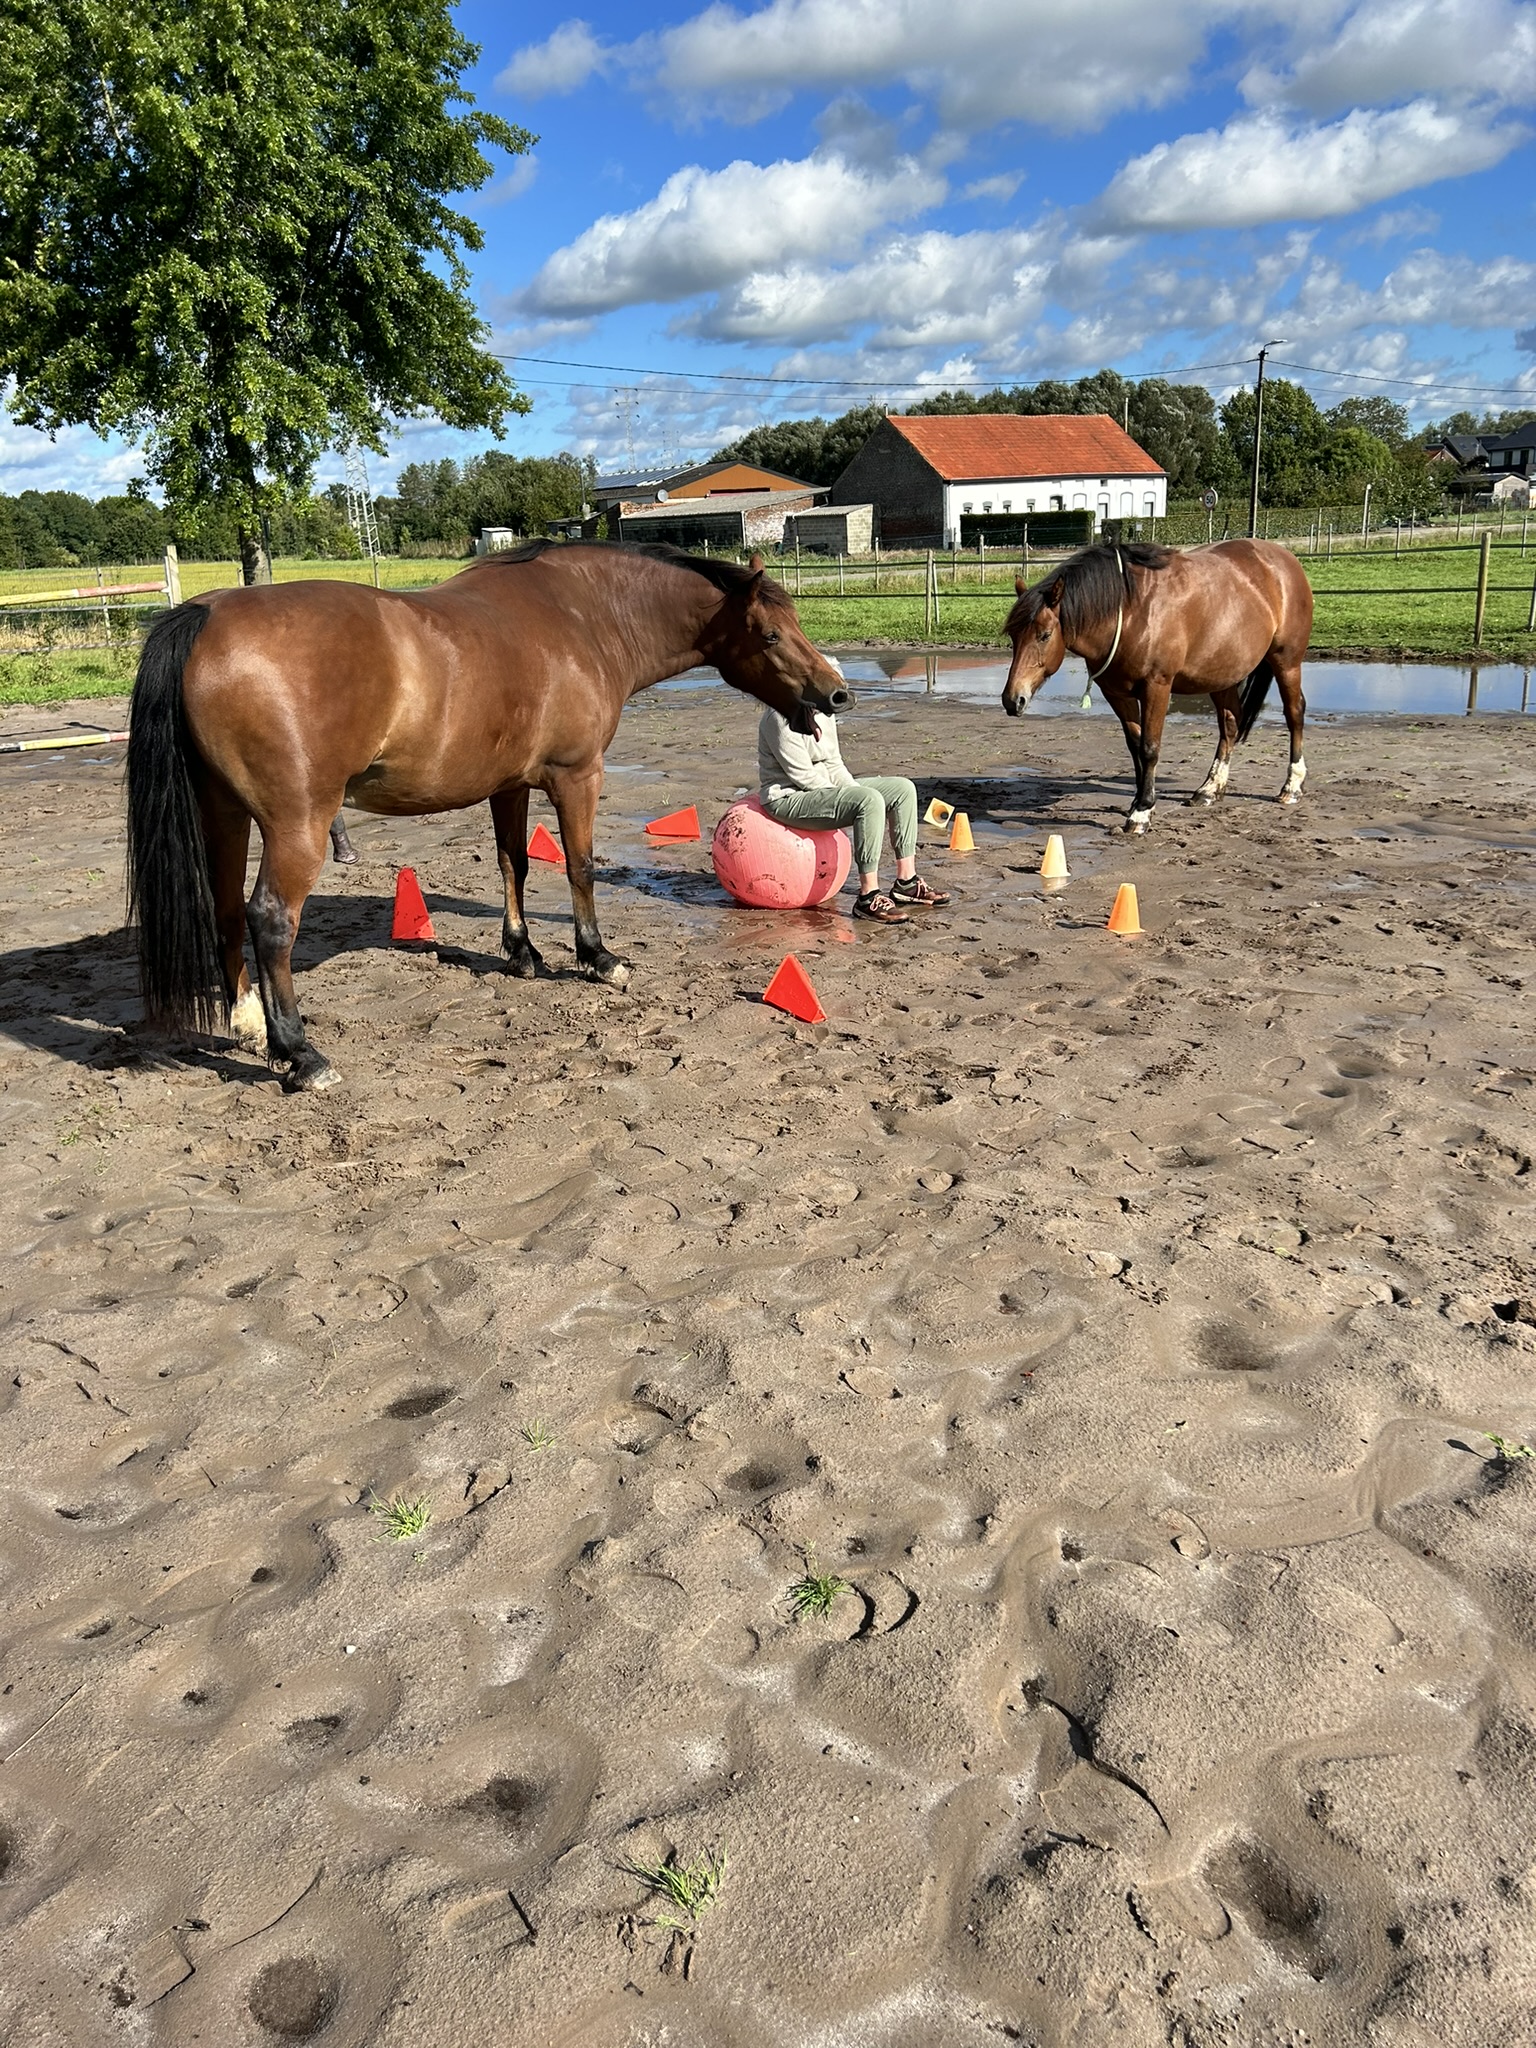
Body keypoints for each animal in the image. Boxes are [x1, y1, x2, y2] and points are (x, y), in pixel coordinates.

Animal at [125, 542, 851, 1092]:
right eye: (769, 633)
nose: (835, 693)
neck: (583, 616)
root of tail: (204, 617)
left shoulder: (511, 786)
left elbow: (515, 863)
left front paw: (522, 952)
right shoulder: (575, 776)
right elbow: (580, 866)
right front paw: (598, 957)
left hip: (225, 815)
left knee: (225, 909)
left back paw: (249, 1023)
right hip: (297, 824)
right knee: (272, 919)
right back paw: (300, 1054)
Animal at [1001, 540, 1313, 833]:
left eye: (1044, 635)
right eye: (1014, 635)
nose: (1012, 699)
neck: (1130, 611)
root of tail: (1284, 559)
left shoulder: (1157, 687)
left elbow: (1150, 748)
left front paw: (1141, 813)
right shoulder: (1116, 693)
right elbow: (1134, 745)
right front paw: (1139, 801)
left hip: (1286, 662)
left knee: (1294, 712)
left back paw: (1292, 786)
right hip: (1221, 675)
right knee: (1230, 724)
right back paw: (1210, 789)